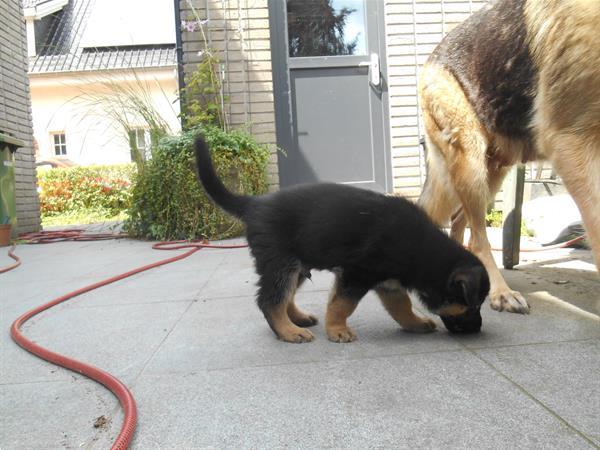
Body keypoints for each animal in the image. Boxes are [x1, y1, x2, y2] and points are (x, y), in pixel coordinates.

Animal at [195, 135, 490, 342]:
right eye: (473, 305)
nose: (478, 330)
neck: (423, 251)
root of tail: (254, 204)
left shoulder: (389, 283)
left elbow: (401, 306)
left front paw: (415, 323)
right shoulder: (356, 274)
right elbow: (342, 304)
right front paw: (337, 330)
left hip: (298, 264)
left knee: (284, 295)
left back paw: (297, 319)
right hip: (281, 263)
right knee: (270, 299)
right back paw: (288, 332)